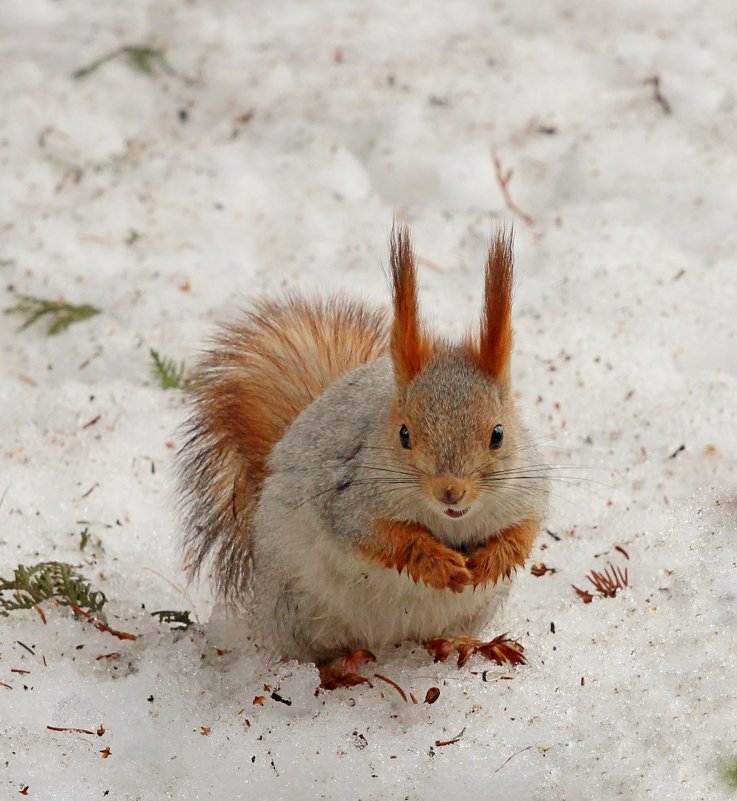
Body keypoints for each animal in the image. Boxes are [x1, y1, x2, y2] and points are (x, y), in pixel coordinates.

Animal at [177, 223, 548, 688]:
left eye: (498, 434)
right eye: (404, 434)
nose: (451, 492)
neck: (448, 521)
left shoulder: (528, 487)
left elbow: (526, 528)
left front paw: (494, 559)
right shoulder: (346, 496)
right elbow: (378, 535)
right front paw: (436, 562)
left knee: (438, 637)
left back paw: (466, 644)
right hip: (296, 608)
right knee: (313, 654)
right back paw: (340, 667)